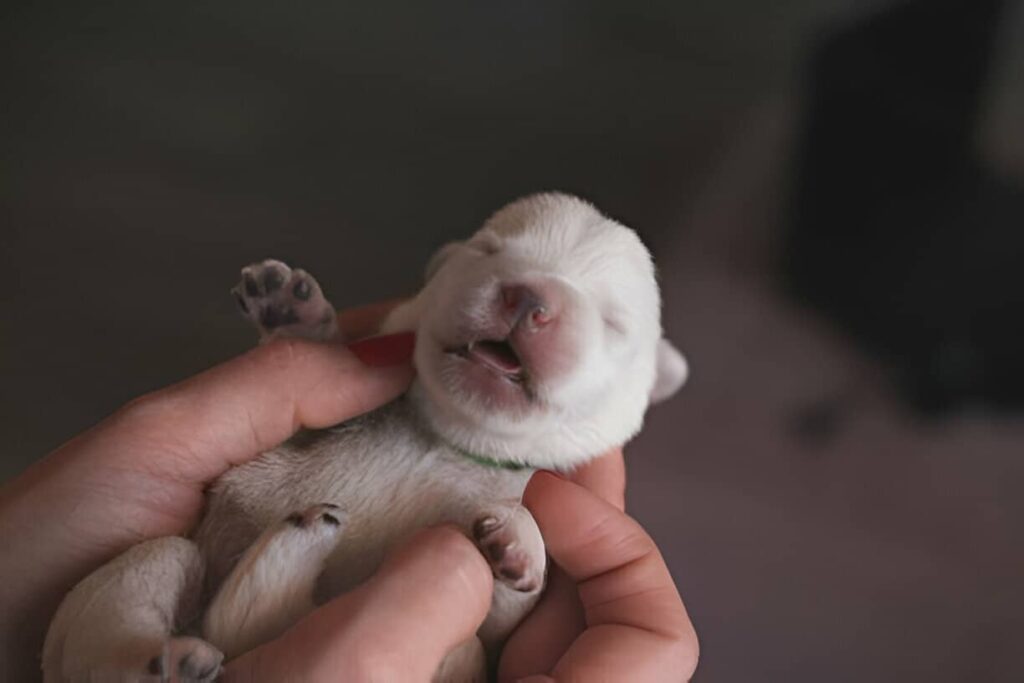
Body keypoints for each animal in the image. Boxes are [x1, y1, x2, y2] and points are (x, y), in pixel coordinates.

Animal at [44, 193, 692, 683]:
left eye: (613, 322)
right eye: (487, 250)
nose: (527, 294)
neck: (446, 439)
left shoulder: (497, 636)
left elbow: (511, 605)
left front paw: (517, 540)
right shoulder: (314, 424)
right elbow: (316, 388)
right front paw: (292, 314)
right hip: (152, 569)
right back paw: (174, 655)